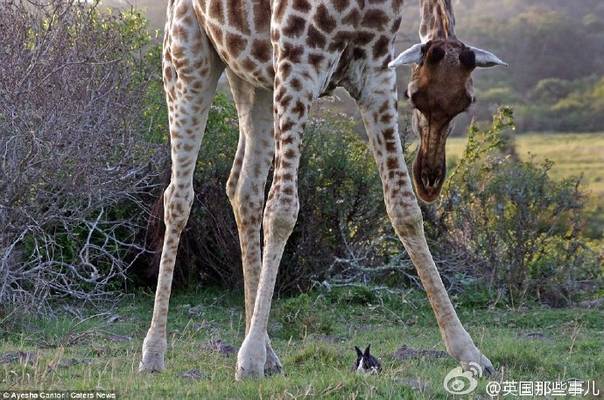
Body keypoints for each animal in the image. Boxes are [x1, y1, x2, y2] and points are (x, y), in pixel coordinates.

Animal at [140, 0, 504, 378]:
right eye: (413, 96)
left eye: (466, 101)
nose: (430, 178)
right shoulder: (297, 65)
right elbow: (282, 211)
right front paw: (249, 359)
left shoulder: (375, 74)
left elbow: (403, 207)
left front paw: (470, 353)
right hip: (187, 61)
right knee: (178, 197)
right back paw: (154, 353)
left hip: (252, 79)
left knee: (244, 189)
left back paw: (268, 352)